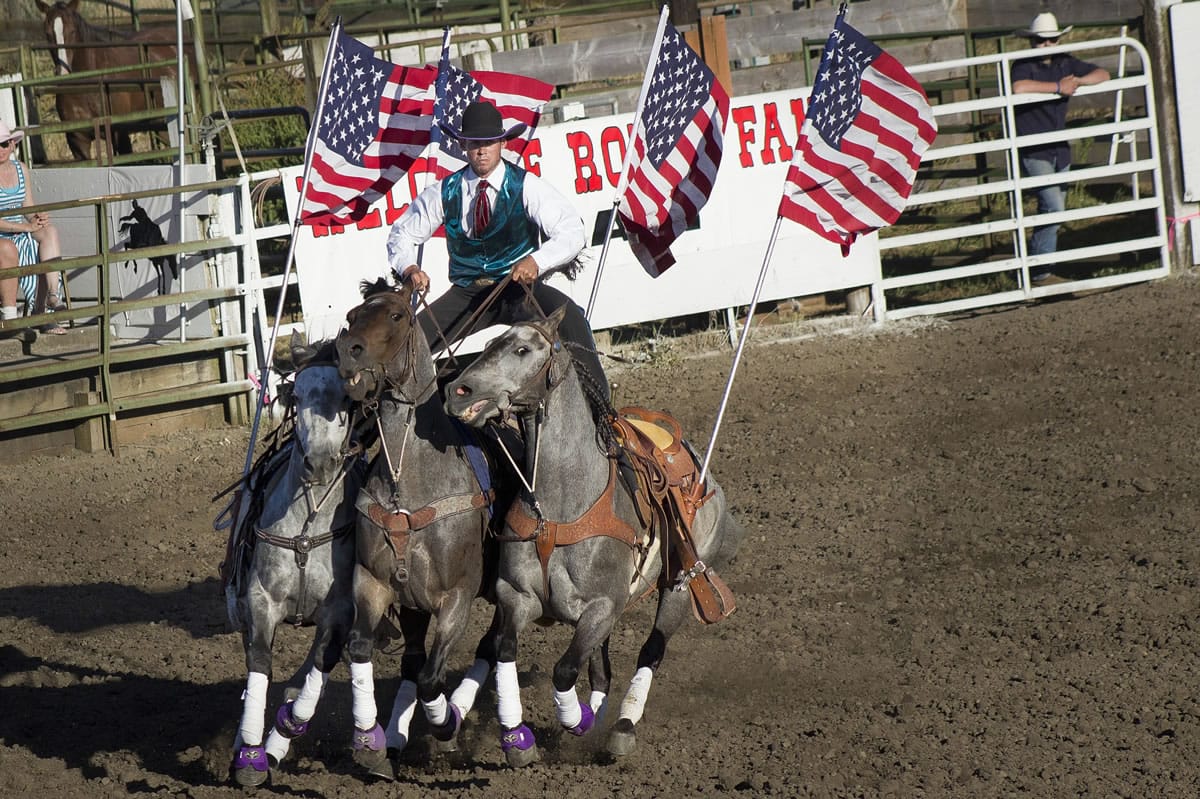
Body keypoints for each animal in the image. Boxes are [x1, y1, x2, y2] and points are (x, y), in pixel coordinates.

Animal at [218, 333, 362, 782]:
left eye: (346, 398)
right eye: (296, 396)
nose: (318, 463)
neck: (306, 530)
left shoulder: (338, 612)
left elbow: (316, 666)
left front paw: (283, 733)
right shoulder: (260, 602)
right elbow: (260, 663)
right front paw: (249, 755)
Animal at [336, 277, 504, 772]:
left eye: (396, 315)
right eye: (351, 315)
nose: (346, 350)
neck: (407, 478)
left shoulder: (458, 598)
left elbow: (433, 677)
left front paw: (446, 724)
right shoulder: (374, 582)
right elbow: (362, 648)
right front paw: (370, 742)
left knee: (490, 646)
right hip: (411, 605)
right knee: (413, 659)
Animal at [444, 303, 739, 758]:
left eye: (522, 349)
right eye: (489, 342)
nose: (458, 390)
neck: (559, 507)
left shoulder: (602, 607)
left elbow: (565, 669)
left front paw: (575, 718)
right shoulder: (517, 597)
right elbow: (505, 649)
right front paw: (517, 737)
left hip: (678, 587)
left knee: (650, 651)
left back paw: (621, 726)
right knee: (601, 668)